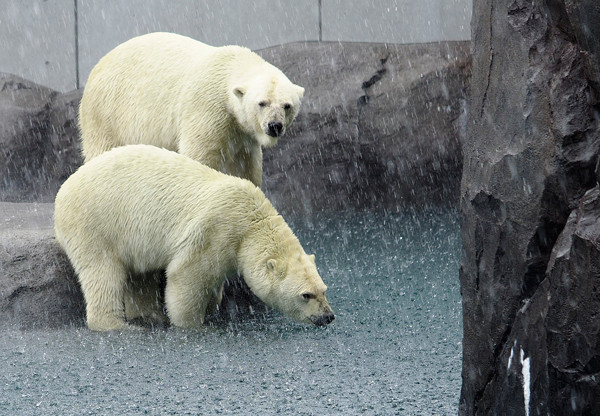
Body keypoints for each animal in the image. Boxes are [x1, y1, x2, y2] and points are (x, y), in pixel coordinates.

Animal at [52, 145, 332, 330]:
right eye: (306, 295)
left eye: (323, 290)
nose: (328, 317)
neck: (252, 221)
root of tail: (63, 191)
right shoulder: (215, 230)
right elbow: (187, 277)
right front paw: (192, 323)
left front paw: (213, 306)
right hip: (95, 224)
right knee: (102, 273)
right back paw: (117, 325)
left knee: (139, 276)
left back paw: (148, 315)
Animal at [78, 32, 304, 187]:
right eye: (262, 103)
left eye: (287, 106)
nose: (274, 126)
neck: (229, 67)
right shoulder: (208, 108)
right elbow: (201, 154)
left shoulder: (242, 133)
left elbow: (245, 165)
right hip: (106, 112)